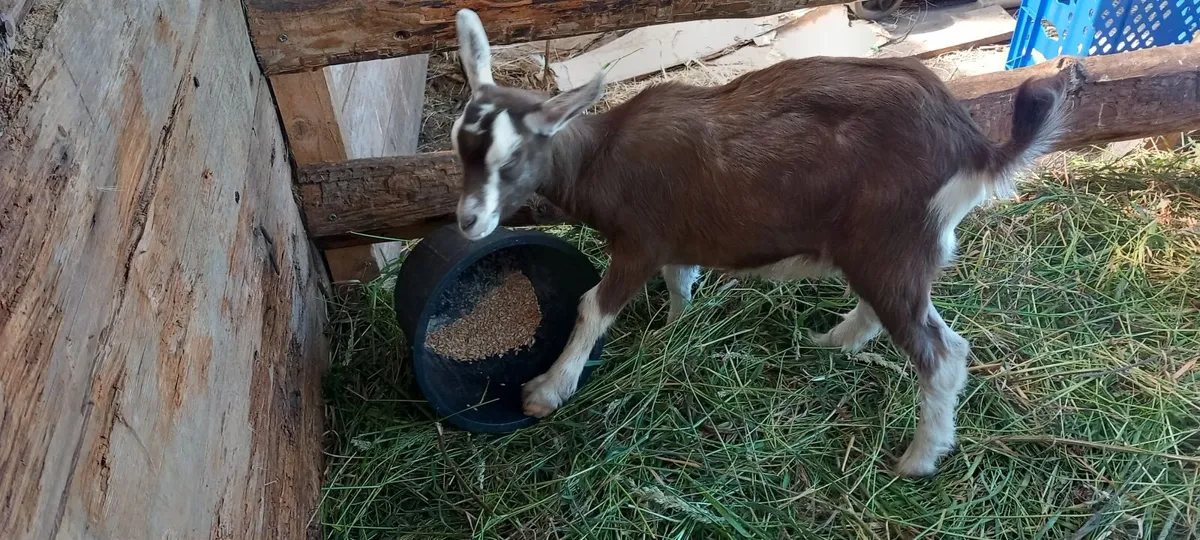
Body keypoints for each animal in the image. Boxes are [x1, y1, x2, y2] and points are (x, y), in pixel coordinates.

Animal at [448, 9, 1068, 477]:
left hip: (895, 242)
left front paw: (547, 390)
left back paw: (917, 459)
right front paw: (673, 328)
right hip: (883, 246)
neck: (604, 155)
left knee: (941, 352)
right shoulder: (676, 240)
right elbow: (680, 280)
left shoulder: (640, 241)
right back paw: (833, 342)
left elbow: (592, 308)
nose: (469, 221)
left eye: (512, 158)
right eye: (460, 145)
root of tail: (973, 145)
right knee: (887, 311)